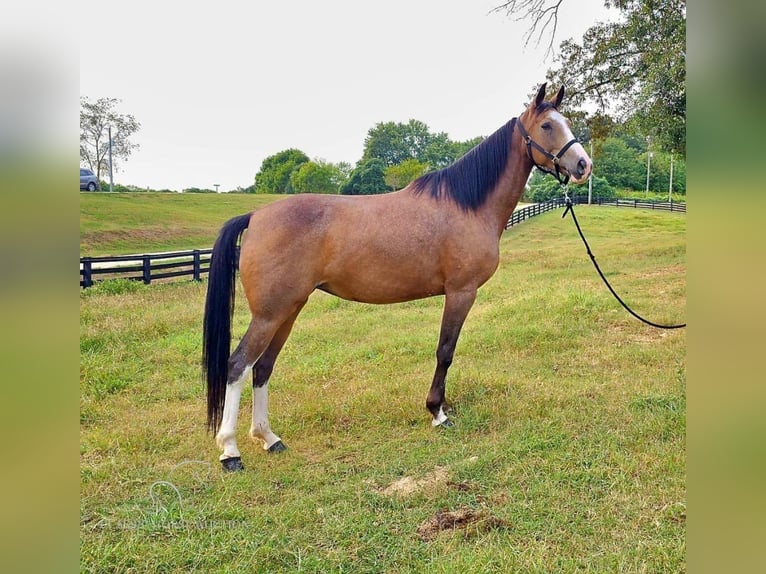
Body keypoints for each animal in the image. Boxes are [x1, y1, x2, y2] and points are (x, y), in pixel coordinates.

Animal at [202, 84, 592, 472]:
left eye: (567, 123)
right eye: (547, 126)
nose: (583, 165)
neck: (467, 205)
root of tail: (255, 216)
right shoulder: (460, 292)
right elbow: (445, 351)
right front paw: (437, 412)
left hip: (288, 309)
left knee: (263, 367)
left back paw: (269, 438)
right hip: (269, 314)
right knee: (238, 366)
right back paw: (230, 450)